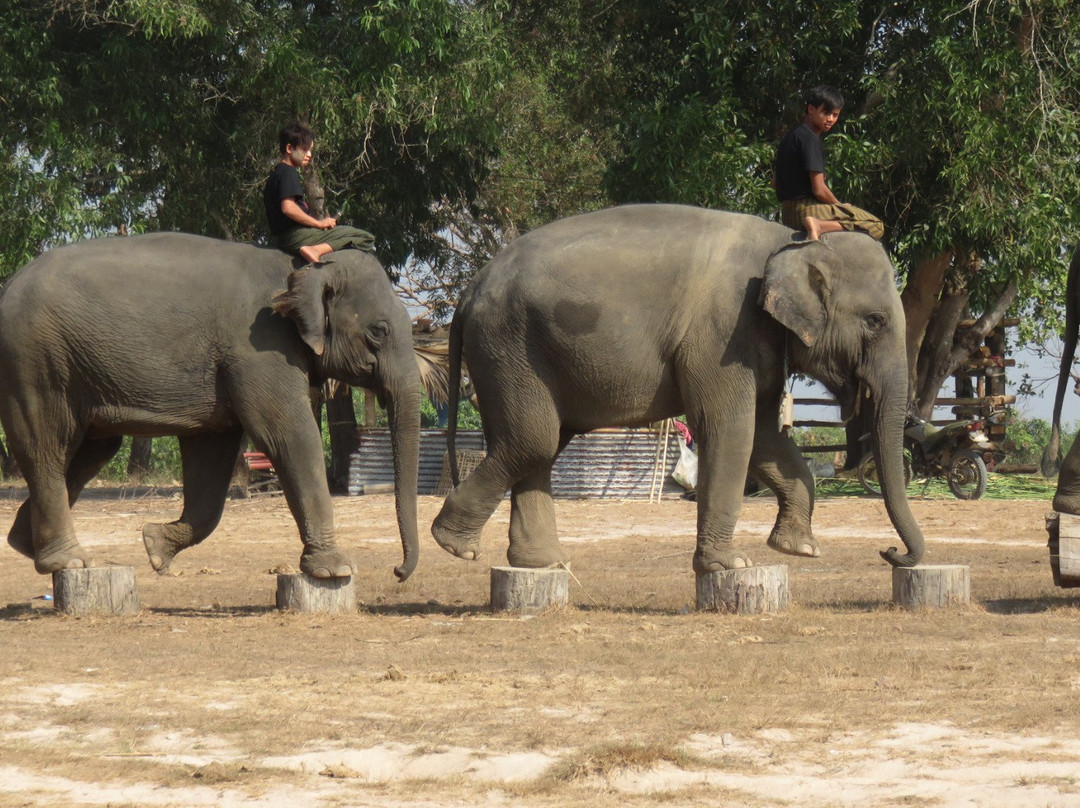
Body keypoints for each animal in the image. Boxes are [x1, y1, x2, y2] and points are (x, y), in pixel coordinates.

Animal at [0, 233, 419, 578]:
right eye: (378, 331)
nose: (398, 571)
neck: (301, 269)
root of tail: (9, 284)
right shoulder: (259, 347)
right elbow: (288, 433)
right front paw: (336, 569)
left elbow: (212, 451)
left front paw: (155, 548)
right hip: (34, 360)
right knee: (47, 447)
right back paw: (69, 561)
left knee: (92, 449)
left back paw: (27, 543)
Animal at [434, 208, 924, 574]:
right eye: (876, 321)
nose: (891, 553)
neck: (790, 240)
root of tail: (470, 290)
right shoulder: (724, 332)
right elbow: (731, 430)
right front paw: (731, 565)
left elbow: (766, 438)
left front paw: (798, 549)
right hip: (509, 347)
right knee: (532, 440)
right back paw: (456, 545)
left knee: (542, 443)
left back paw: (542, 563)